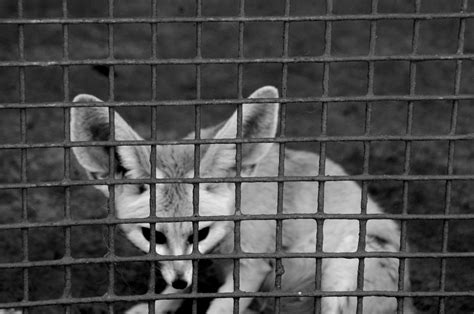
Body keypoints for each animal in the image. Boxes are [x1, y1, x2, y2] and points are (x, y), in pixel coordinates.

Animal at [71, 86, 414, 314]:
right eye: (153, 236)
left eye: (201, 232)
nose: (180, 282)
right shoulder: (196, 261)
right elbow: (179, 288)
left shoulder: (251, 266)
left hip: (341, 276)